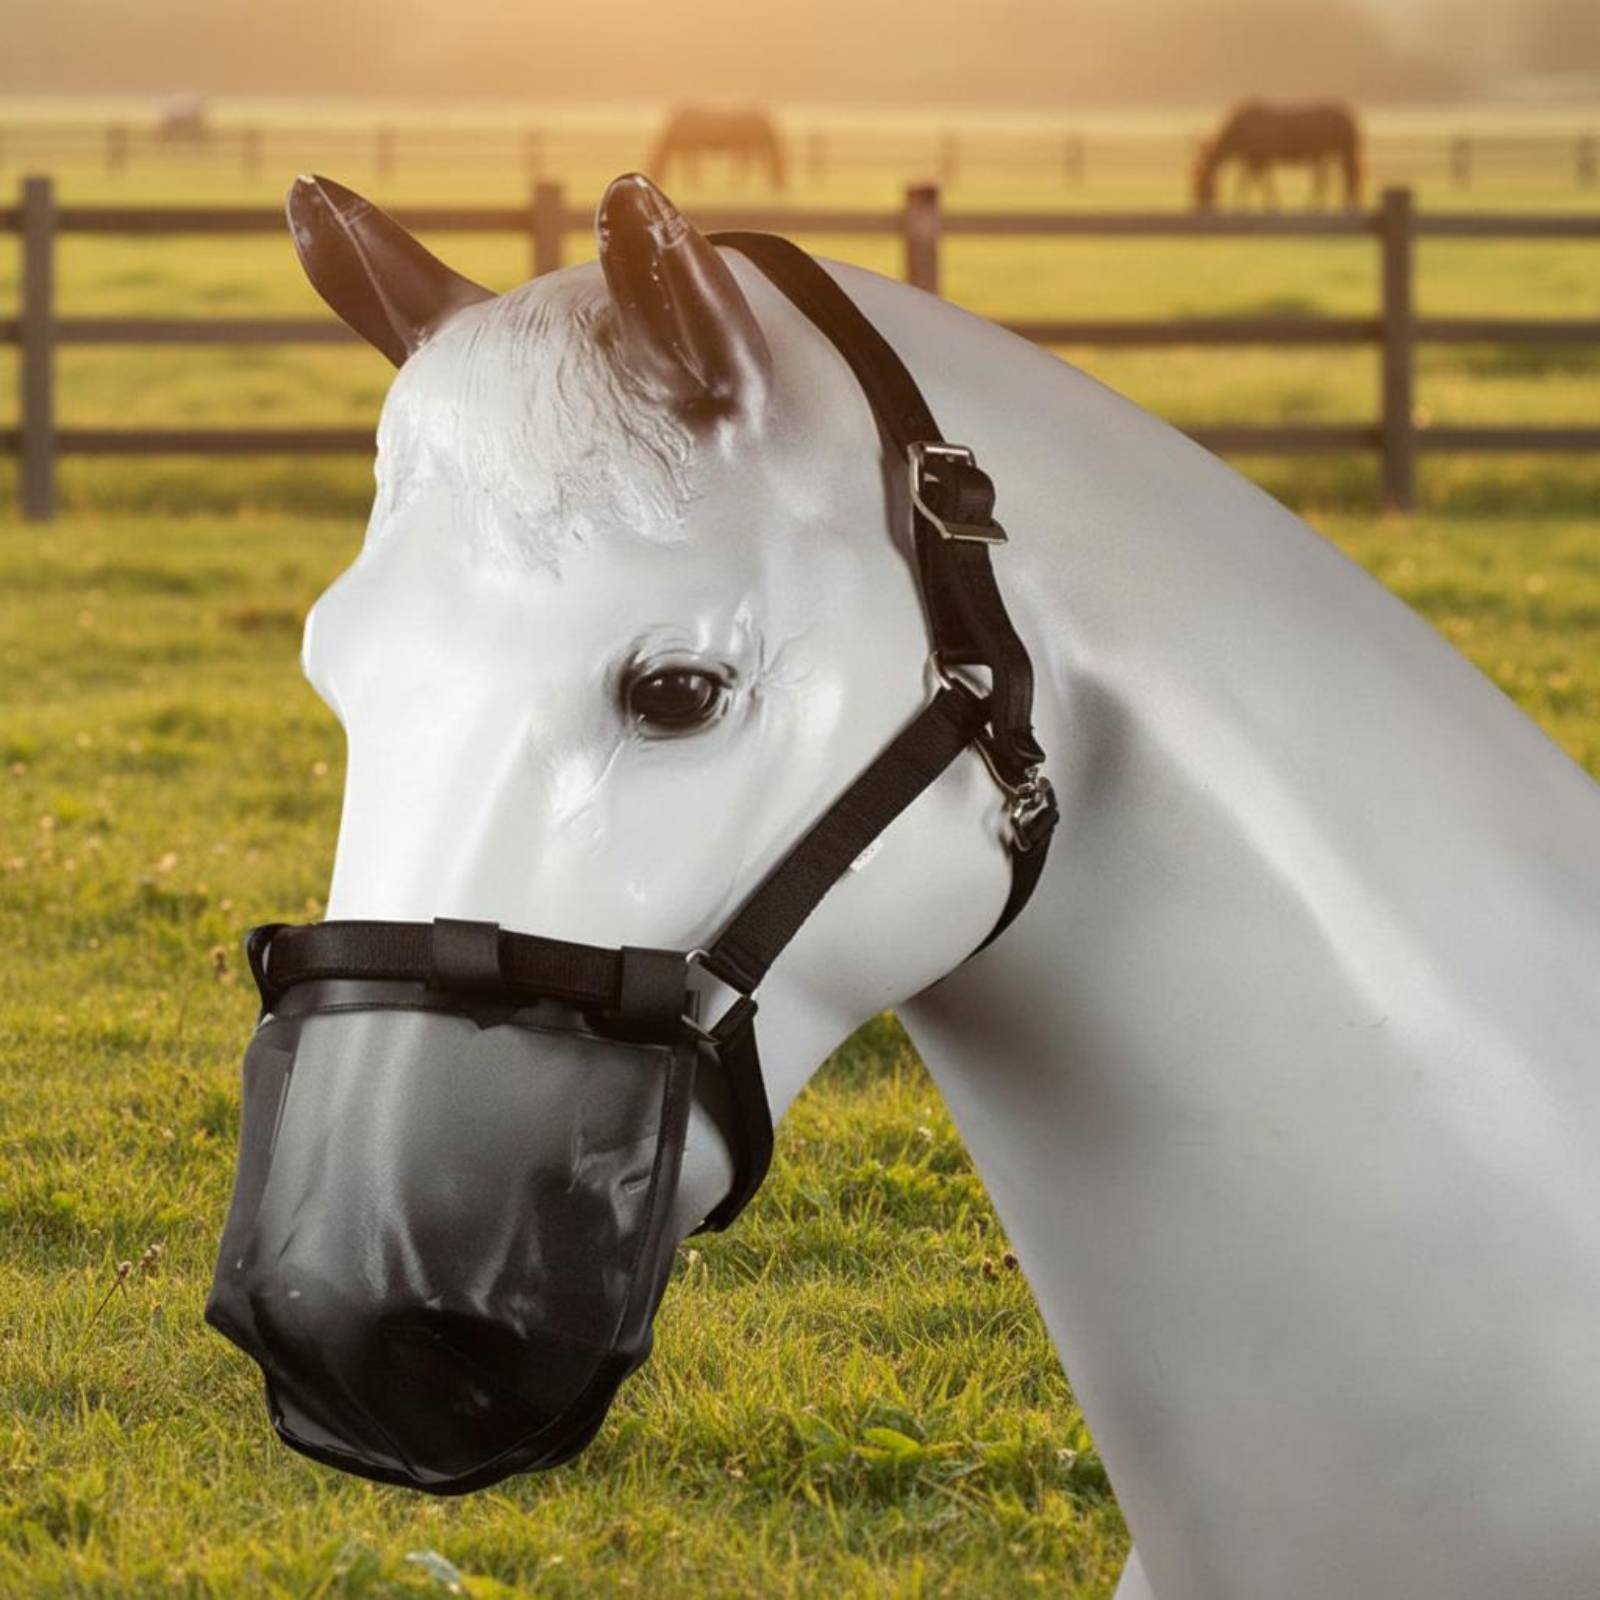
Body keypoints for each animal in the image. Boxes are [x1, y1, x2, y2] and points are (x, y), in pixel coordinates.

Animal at [1193, 101, 1362, 210]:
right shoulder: (1253, 158)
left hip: (1340, 151)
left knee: (1341, 177)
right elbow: (1252, 180)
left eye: (1202, 182)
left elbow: (1259, 181)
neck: (1240, 130)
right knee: (1339, 177)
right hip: (1332, 153)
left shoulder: (1259, 157)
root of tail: (1349, 119)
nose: (1201, 205)